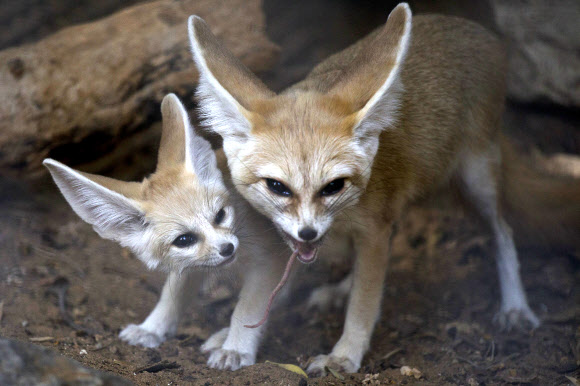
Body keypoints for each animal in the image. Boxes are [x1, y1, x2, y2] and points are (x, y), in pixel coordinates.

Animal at [44, 94, 294, 368]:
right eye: (184, 239)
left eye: (220, 215)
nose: (227, 248)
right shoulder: (192, 264)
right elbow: (172, 295)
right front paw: (151, 328)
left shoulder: (272, 258)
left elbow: (249, 308)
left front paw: (236, 349)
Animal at [189, 2, 580, 374]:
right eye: (276, 186)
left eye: (334, 186)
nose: (308, 231)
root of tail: (472, 29)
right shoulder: (302, 235)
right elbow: (265, 291)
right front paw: (238, 338)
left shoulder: (373, 229)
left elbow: (363, 303)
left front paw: (343, 355)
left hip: (477, 180)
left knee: (503, 232)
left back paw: (515, 306)